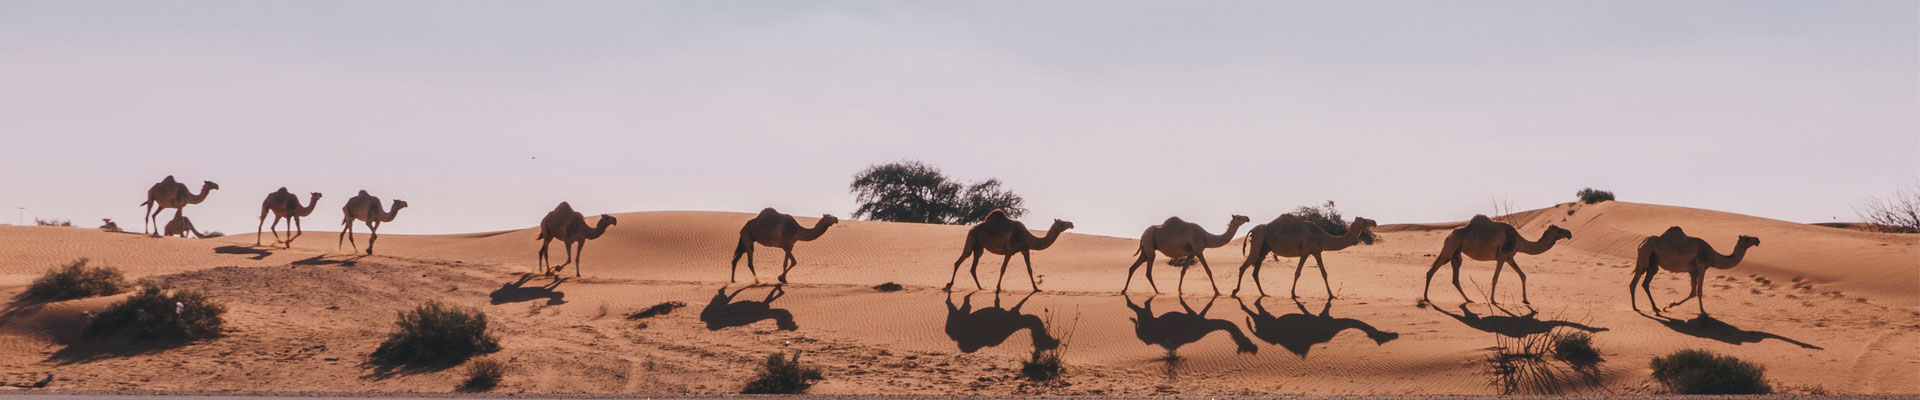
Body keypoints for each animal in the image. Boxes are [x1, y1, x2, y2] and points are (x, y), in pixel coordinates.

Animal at [1121, 215, 1251, 294]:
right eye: (1238, 217)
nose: (1248, 218)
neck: (1205, 237)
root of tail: (1143, 234)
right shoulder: (1198, 251)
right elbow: (1208, 271)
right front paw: (1217, 291)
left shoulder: (1191, 254)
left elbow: (1183, 271)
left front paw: (1180, 291)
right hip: (1149, 244)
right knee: (1148, 271)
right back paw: (1158, 291)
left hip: (1146, 248)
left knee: (1133, 267)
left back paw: (1124, 290)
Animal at [1228, 215, 1382, 296]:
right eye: (1363, 220)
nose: (1374, 222)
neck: (1322, 236)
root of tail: (1252, 230)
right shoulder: (1306, 251)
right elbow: (1297, 272)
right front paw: (1293, 293)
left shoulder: (1316, 252)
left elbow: (1324, 273)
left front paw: (1331, 294)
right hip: (1258, 242)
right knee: (1244, 267)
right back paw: (1235, 291)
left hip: (1264, 248)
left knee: (1255, 271)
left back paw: (1263, 293)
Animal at [1420, 215, 1566, 305]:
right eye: (1559, 230)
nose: (1569, 233)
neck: (1518, 241)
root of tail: (1448, 236)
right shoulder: (1501, 257)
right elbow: (1495, 278)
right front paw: (1493, 300)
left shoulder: (1509, 258)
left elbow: (1523, 275)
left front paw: (1525, 300)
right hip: (1450, 247)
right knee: (1432, 270)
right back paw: (1426, 297)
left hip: (1456, 253)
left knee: (1455, 278)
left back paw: (1469, 300)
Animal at [1628, 227, 1758, 315]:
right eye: (1747, 238)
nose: (1757, 240)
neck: (1713, 256)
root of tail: (1642, 242)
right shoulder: (1701, 266)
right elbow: (1699, 291)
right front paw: (1703, 311)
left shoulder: (1693, 271)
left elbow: (1692, 292)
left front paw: (1669, 305)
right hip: (1645, 256)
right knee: (1634, 282)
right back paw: (1635, 307)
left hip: (1653, 264)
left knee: (1645, 283)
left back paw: (1655, 308)